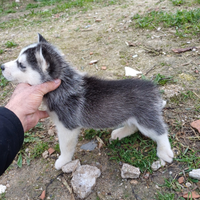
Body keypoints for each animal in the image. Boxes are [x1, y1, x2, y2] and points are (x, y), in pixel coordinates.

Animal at [0, 34, 173, 169]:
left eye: (21, 65)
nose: (1, 66)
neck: (63, 83)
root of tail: (152, 88)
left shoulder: (67, 127)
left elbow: (65, 147)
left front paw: (62, 161)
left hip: (146, 119)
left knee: (160, 131)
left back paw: (165, 152)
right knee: (133, 126)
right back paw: (118, 133)